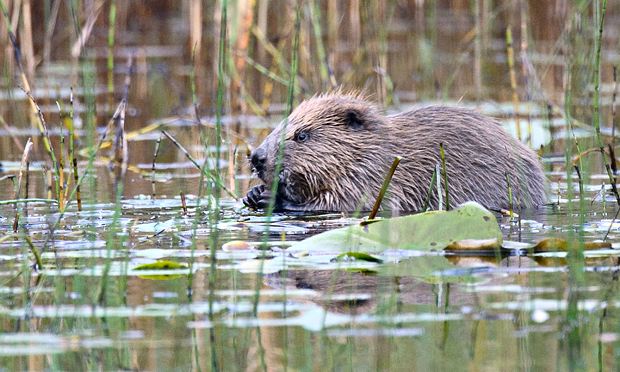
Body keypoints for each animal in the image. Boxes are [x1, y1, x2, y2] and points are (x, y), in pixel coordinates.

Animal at [242, 92, 544, 212]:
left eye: (301, 135)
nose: (257, 157)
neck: (377, 150)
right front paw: (253, 194)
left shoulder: (375, 177)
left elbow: (348, 203)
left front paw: (271, 198)